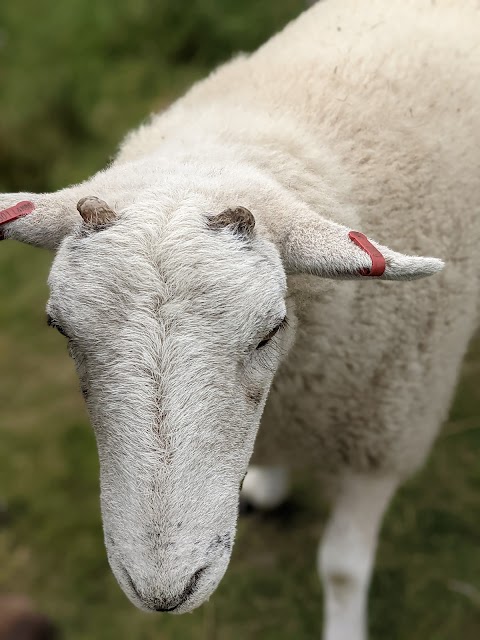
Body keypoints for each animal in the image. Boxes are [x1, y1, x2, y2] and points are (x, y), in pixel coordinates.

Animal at [0, 1, 480, 640]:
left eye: (270, 330)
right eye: (60, 329)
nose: (164, 593)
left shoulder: (389, 430)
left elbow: (343, 567)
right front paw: (269, 483)